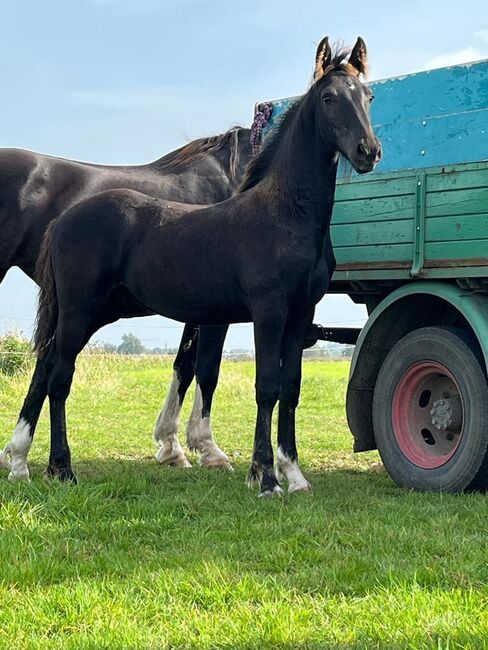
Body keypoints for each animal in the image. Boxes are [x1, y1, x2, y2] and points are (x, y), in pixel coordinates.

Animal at [1, 38, 380, 496]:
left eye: (368, 96)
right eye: (328, 98)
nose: (368, 152)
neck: (285, 213)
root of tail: (62, 221)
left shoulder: (300, 313)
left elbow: (289, 389)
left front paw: (294, 475)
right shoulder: (267, 311)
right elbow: (263, 386)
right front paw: (265, 478)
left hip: (94, 313)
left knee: (51, 368)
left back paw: (40, 464)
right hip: (79, 312)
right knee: (58, 375)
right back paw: (62, 467)